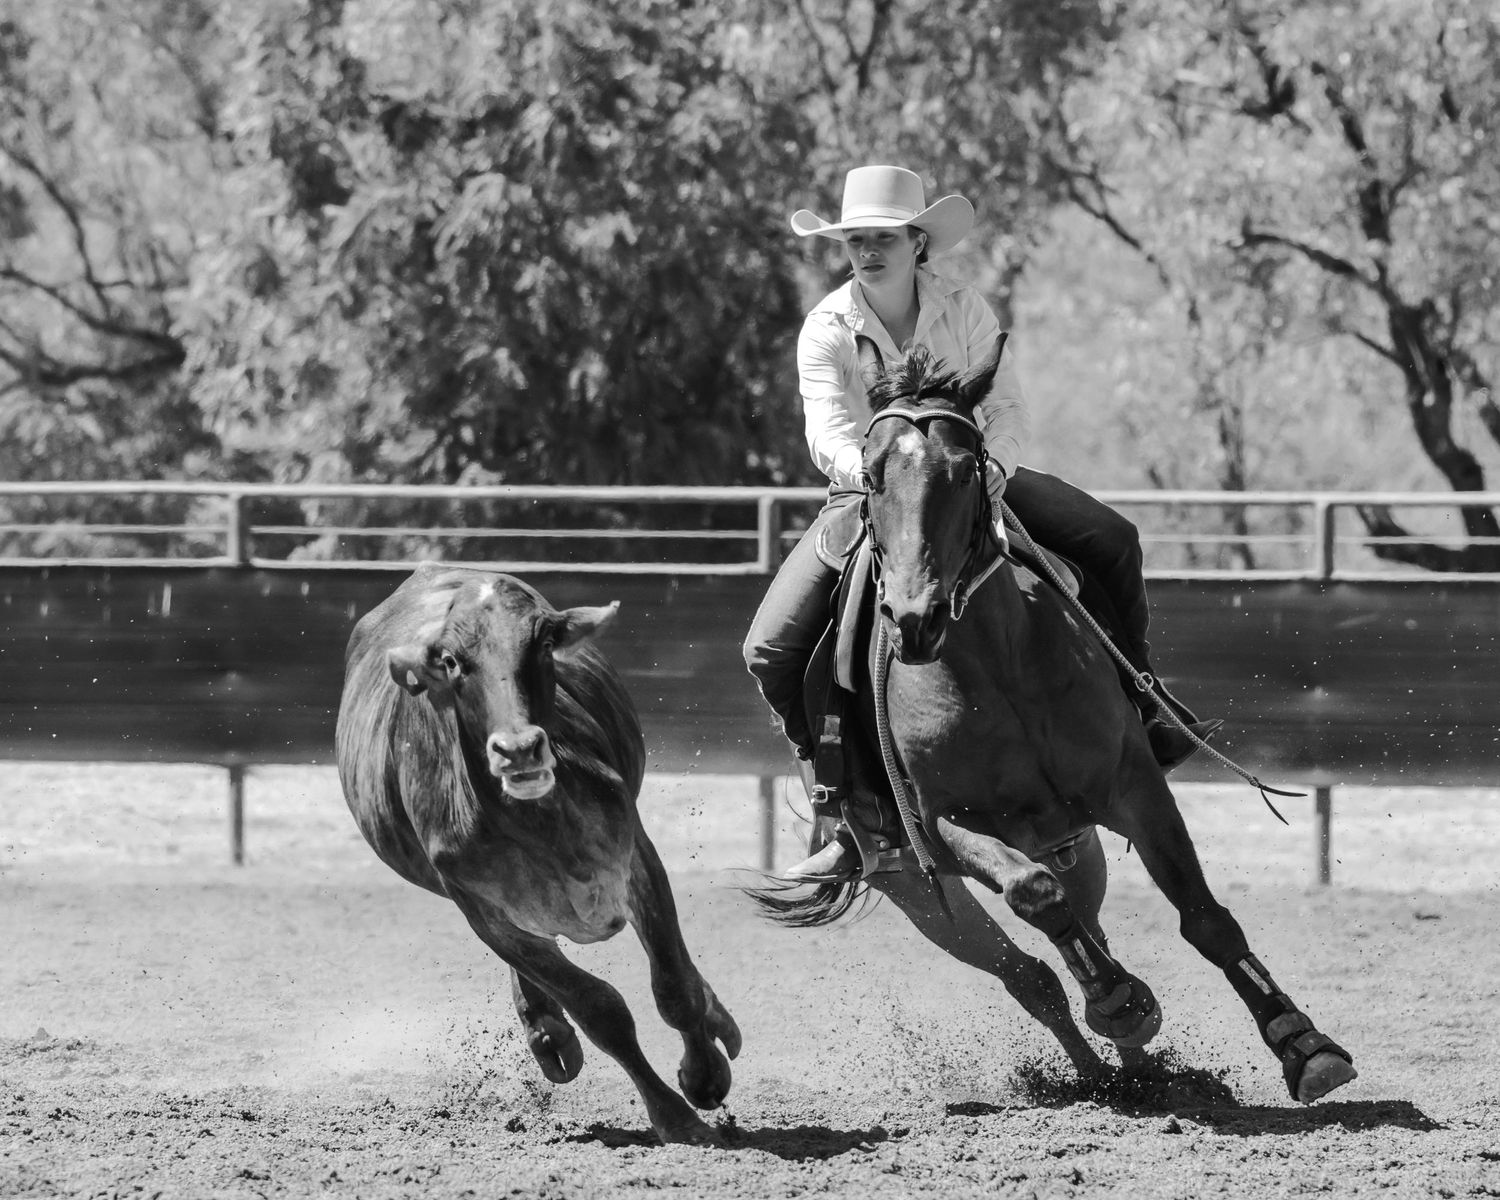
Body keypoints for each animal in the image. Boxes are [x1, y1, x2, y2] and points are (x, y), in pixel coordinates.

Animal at [335, 563, 741, 1145]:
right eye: (452, 661)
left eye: (545, 642)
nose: (519, 749)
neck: (539, 825)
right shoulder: (482, 910)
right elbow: (600, 1009)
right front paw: (674, 1115)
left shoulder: (634, 858)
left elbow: (675, 986)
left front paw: (705, 1075)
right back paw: (549, 1034)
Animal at [753, 341, 1356, 1104]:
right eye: (871, 474)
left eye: (965, 469)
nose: (913, 618)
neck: (1000, 667)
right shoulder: (941, 827)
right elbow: (1034, 897)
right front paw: (1116, 999)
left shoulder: (1134, 787)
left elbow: (1206, 919)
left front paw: (1303, 1043)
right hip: (913, 886)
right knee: (1031, 973)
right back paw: (1107, 1046)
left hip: (1076, 843)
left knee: (1084, 930)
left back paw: (1142, 1063)